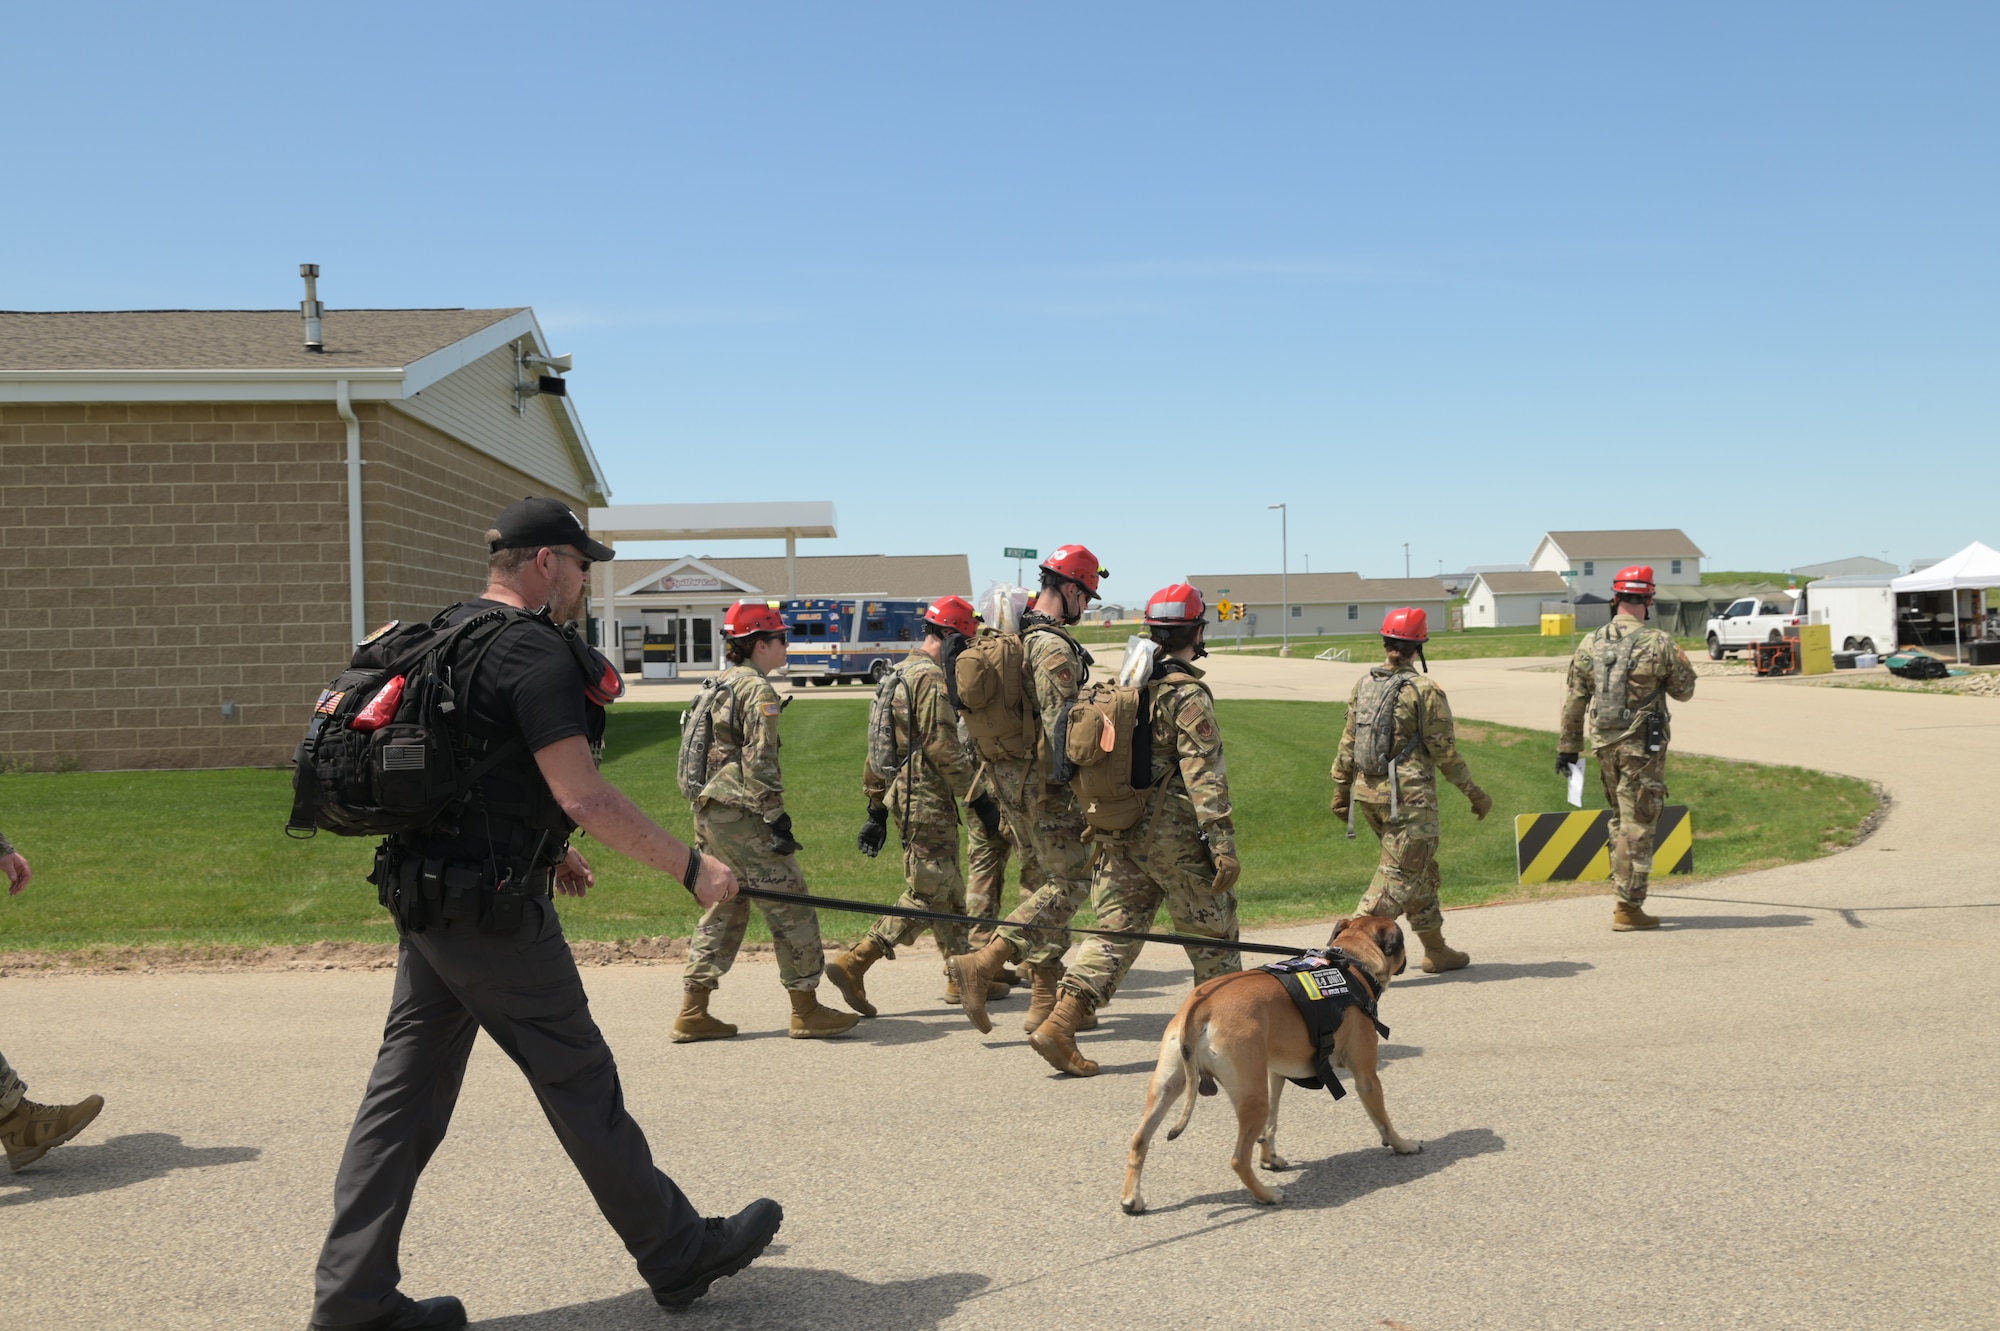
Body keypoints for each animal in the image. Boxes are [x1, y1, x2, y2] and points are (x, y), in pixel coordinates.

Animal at [1128, 911, 1424, 1215]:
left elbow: (1271, 1123)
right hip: (1253, 1100)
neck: (1352, 963)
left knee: (1139, 1140)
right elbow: (1383, 1119)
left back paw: (1131, 1198)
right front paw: (1402, 1144)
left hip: (1168, 1088)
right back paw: (1266, 1195)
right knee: (1238, 1160)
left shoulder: (1275, 1075)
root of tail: (1201, 1007)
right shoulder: (1366, 1077)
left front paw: (1269, 1158)